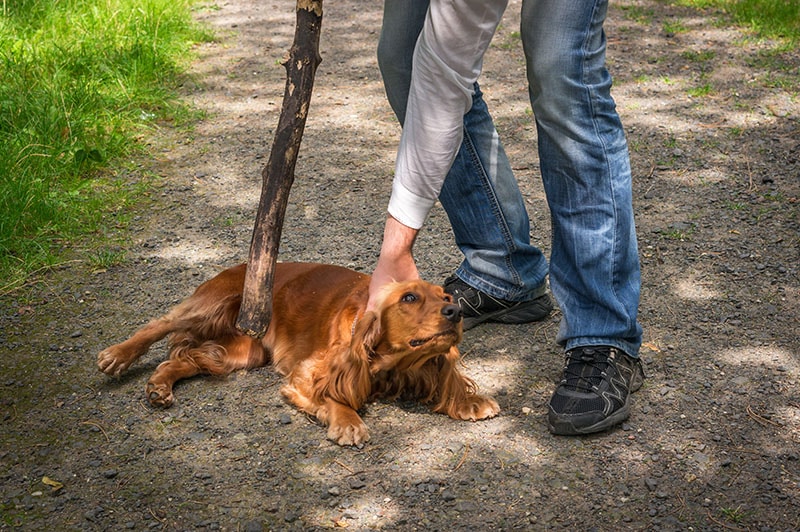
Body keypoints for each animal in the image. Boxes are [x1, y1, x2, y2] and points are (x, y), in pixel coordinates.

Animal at [98, 262, 500, 444]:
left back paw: (159, 387)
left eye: (446, 296)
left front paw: (469, 401)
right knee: (159, 323)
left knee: (185, 359)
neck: (389, 363)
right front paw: (349, 422)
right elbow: (335, 396)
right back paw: (117, 354)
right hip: (210, 304)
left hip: (244, 350)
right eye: (410, 297)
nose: (455, 311)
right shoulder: (305, 375)